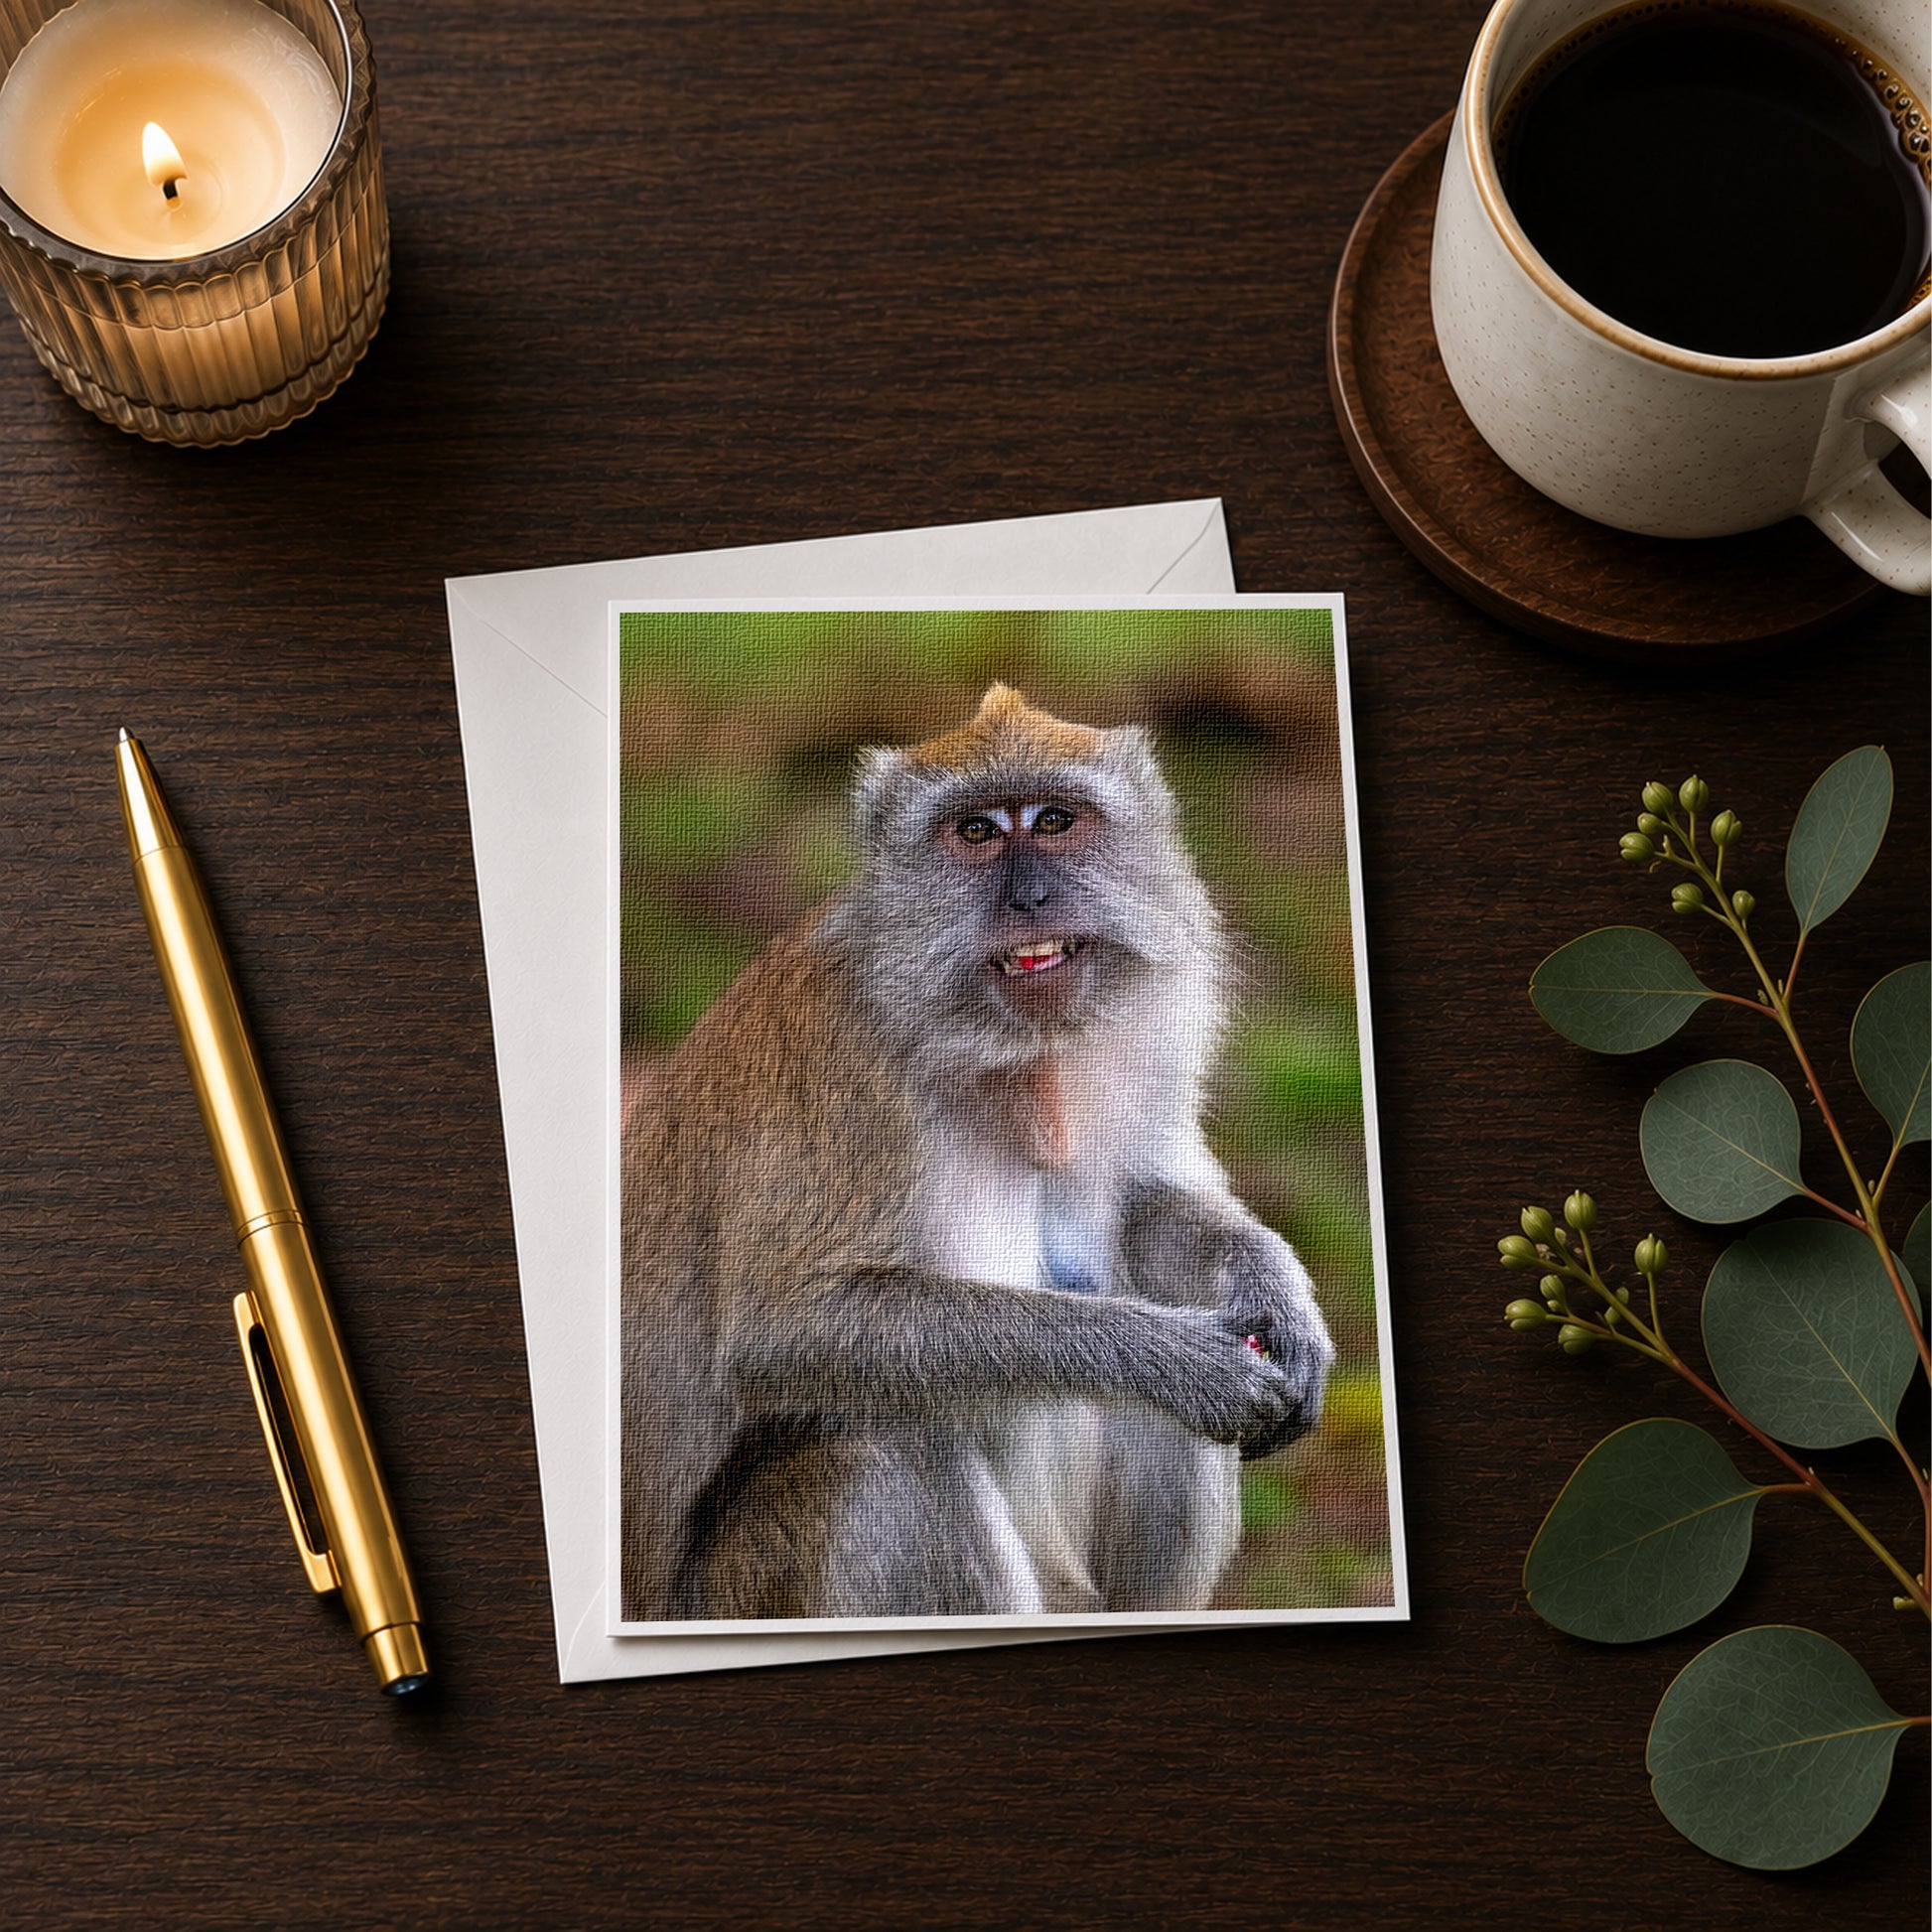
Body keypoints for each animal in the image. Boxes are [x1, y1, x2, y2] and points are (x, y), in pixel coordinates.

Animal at [619, 683, 1334, 1622]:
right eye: (977, 832)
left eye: (1055, 820)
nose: (1029, 898)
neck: (1007, 1053)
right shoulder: (848, 1067)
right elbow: (786, 1331)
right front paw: (1173, 1358)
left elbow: (1148, 1203)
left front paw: (1275, 1288)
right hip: (736, 1596)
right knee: (884, 1448)